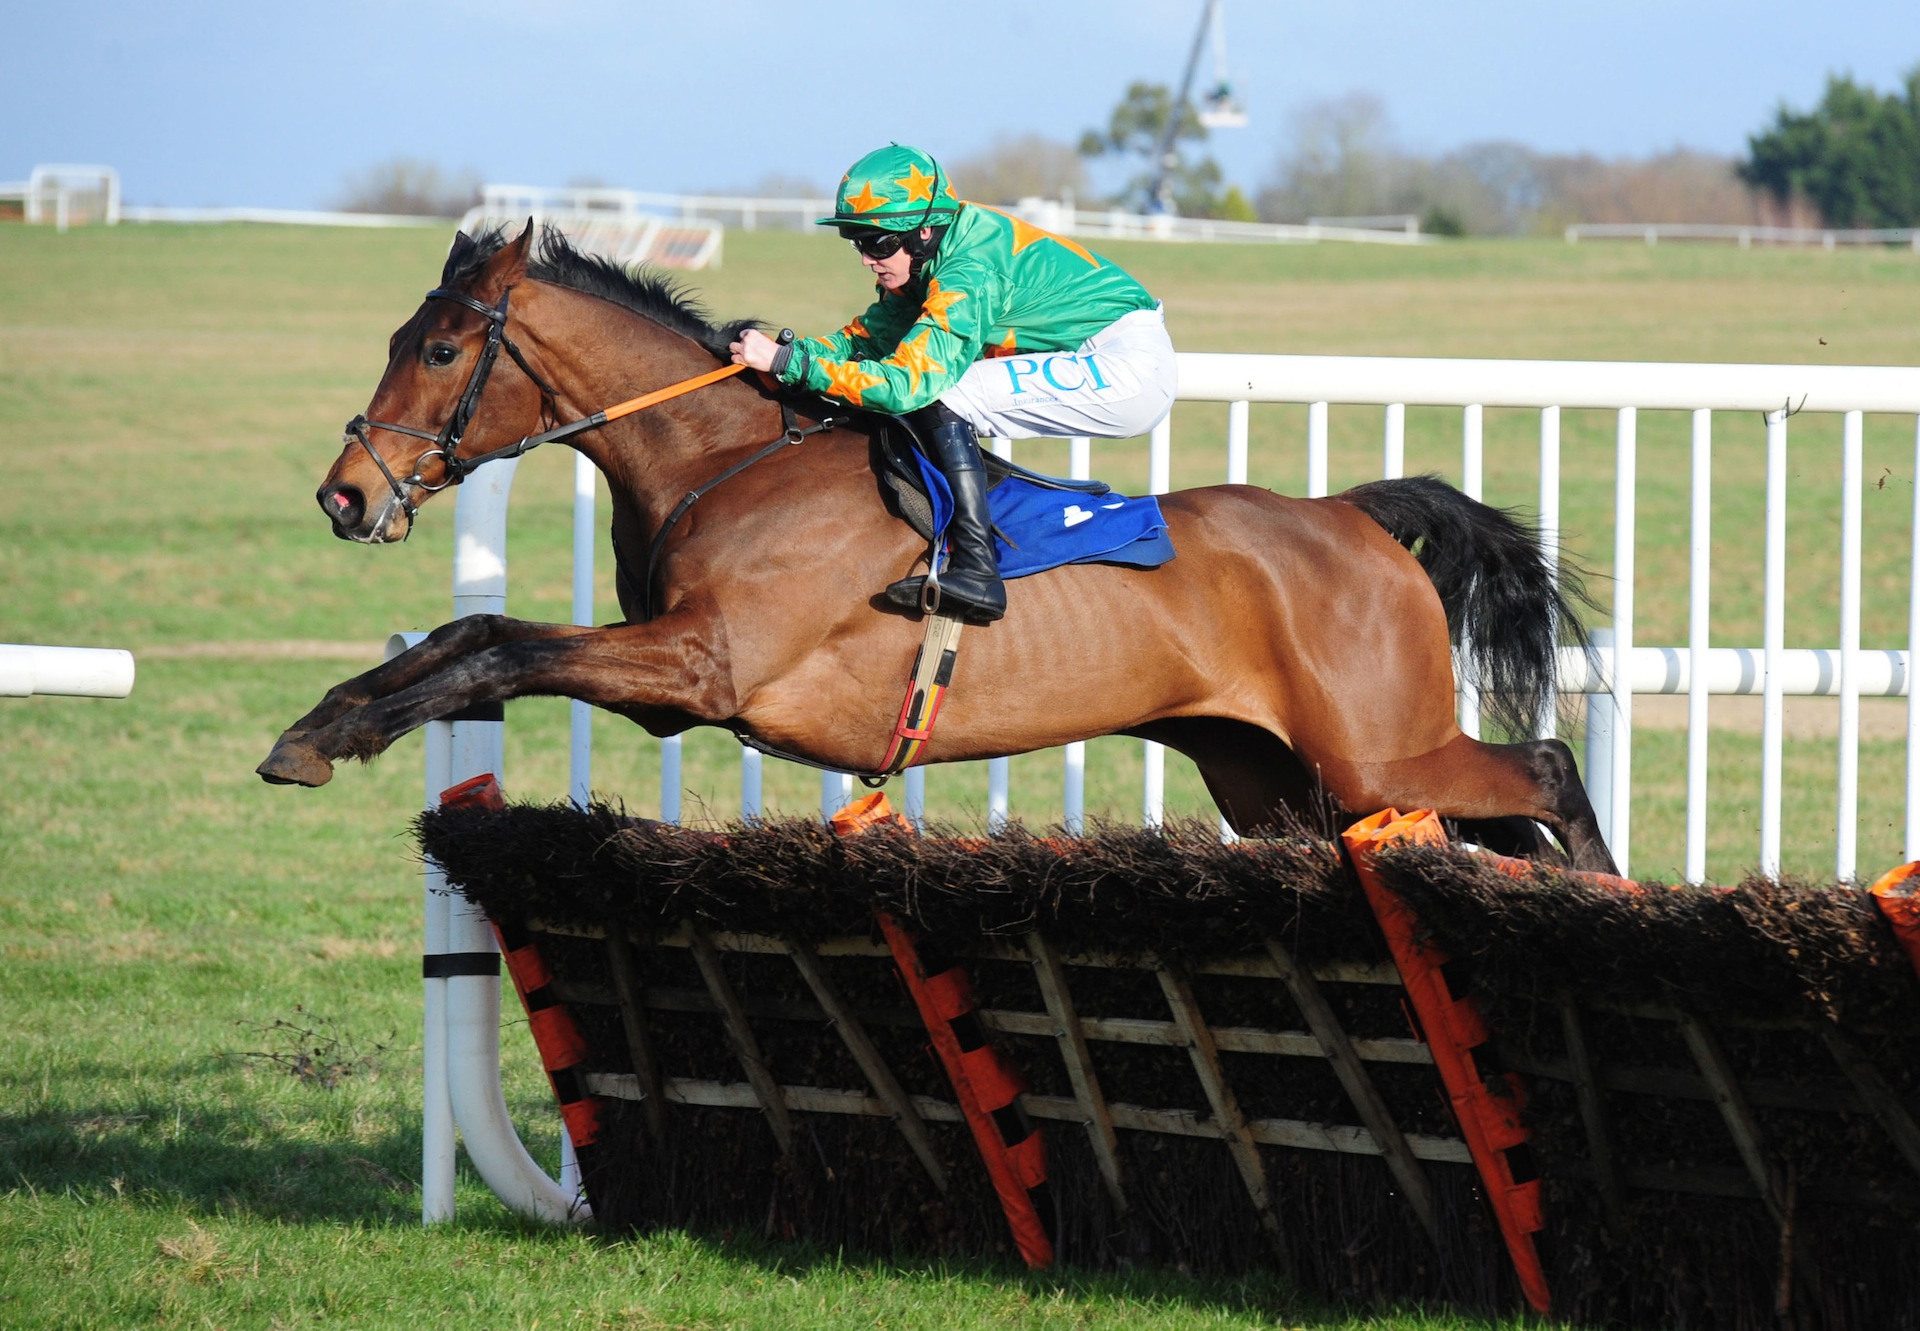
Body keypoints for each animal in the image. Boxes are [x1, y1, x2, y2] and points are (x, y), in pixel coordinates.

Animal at [255, 224, 1620, 875]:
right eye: (399, 338)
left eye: (441, 349)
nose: (343, 495)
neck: (724, 456)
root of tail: (1351, 517)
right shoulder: (669, 662)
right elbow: (472, 630)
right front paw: (317, 726)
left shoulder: (702, 669)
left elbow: (500, 645)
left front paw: (343, 731)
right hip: (1288, 777)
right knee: (1483, 825)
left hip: (1372, 742)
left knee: (1548, 769)